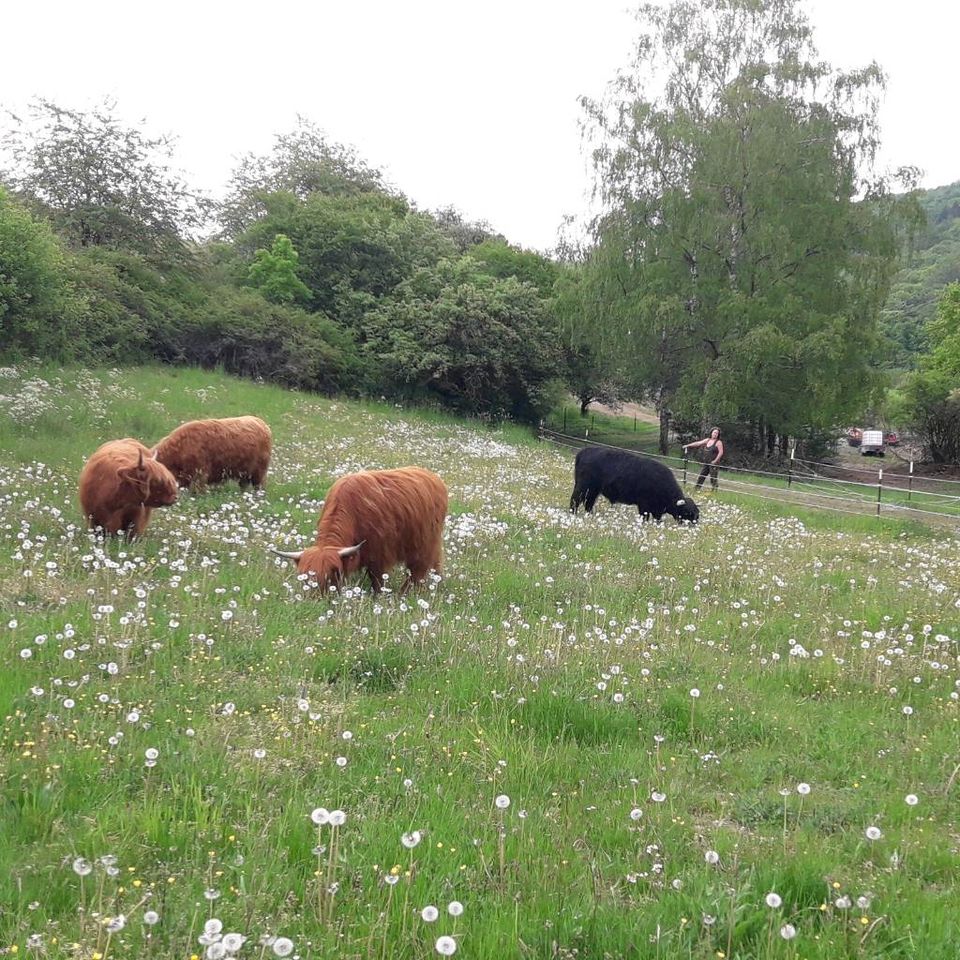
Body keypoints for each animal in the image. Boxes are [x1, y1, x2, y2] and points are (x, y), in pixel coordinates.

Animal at [272, 464, 448, 592]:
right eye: (304, 578)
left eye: (329, 577)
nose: (313, 602)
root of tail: (432, 477)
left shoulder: (379, 554)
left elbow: (377, 580)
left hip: (425, 542)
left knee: (419, 568)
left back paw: (407, 592)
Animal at [568, 444, 696, 520]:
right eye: (688, 513)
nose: (693, 525)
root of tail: (585, 451)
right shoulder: (644, 505)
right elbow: (644, 517)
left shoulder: (656, 510)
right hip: (583, 488)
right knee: (575, 500)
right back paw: (573, 514)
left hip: (593, 491)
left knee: (588, 503)